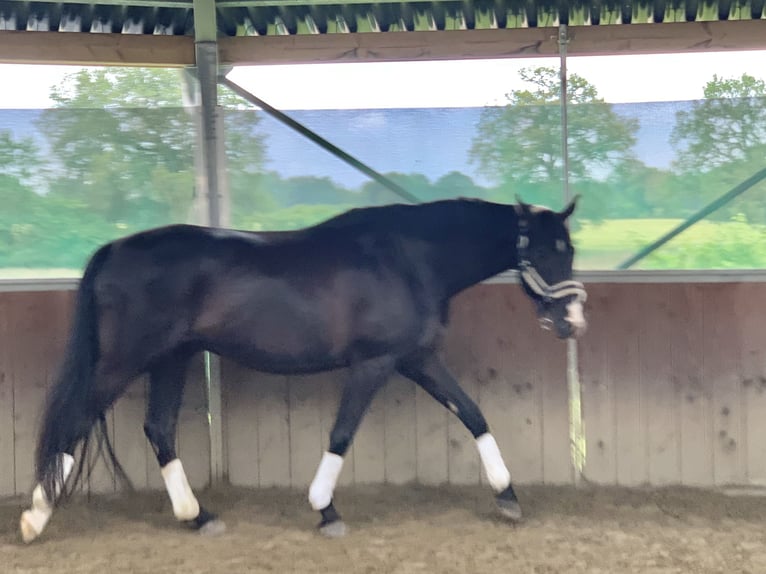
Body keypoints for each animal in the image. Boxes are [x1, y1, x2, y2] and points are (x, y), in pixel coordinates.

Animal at [22, 198, 588, 544]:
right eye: (541, 251)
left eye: (570, 249)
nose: (571, 322)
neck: (410, 258)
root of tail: (112, 250)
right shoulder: (374, 364)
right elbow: (342, 432)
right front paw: (325, 510)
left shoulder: (417, 359)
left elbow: (473, 414)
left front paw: (507, 497)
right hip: (123, 362)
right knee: (75, 422)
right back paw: (33, 519)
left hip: (171, 359)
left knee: (158, 428)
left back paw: (198, 517)